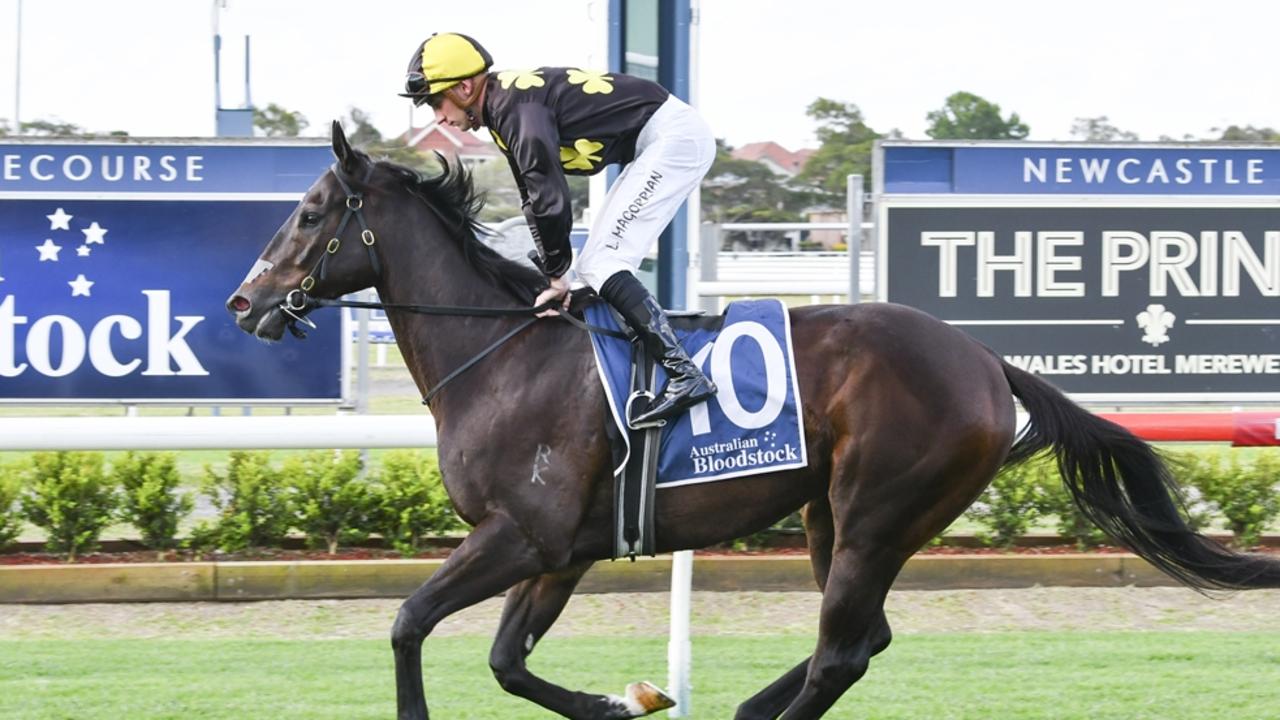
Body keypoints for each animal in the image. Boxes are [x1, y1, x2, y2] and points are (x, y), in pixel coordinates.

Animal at [225, 120, 1274, 712]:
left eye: (312, 213)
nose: (243, 302)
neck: (507, 356)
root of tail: (984, 360)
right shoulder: (564, 549)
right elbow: (507, 663)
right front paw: (630, 699)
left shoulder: (521, 534)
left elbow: (409, 623)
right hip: (829, 515)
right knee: (862, 642)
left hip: (878, 512)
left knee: (842, 652)